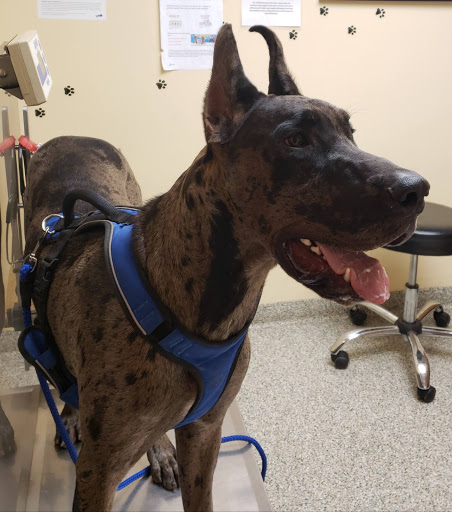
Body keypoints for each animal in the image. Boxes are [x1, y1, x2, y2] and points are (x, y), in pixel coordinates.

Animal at [22, 24, 429, 512]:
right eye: (295, 140)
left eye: (351, 133)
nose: (418, 190)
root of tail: (72, 136)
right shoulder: (99, 474)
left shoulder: (205, 435)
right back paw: (72, 414)